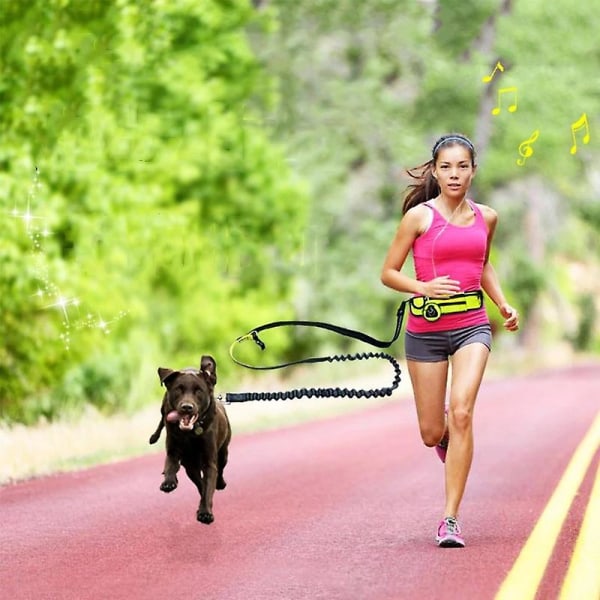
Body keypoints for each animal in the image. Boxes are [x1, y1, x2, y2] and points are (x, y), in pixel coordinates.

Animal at [149, 354, 231, 524]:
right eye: (178, 389)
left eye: (198, 391)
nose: (187, 407)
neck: (190, 434)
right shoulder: (178, 455)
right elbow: (172, 466)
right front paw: (169, 482)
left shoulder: (209, 461)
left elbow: (208, 485)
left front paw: (205, 512)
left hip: (224, 452)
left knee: (221, 469)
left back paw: (221, 483)